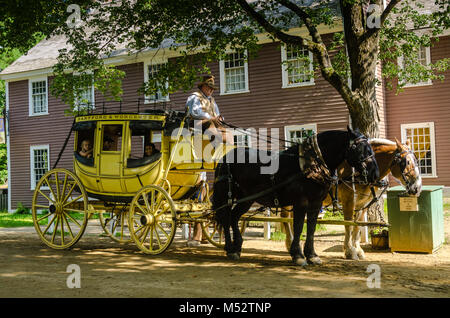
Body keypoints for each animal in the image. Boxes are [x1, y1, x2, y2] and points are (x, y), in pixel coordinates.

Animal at [213, 126, 378, 266]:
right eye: (359, 148)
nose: (374, 173)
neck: (311, 164)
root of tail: (226, 157)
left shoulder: (316, 203)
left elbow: (311, 228)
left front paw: (312, 255)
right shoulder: (301, 202)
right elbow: (298, 227)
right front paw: (298, 255)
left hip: (246, 199)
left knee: (234, 217)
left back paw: (237, 247)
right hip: (225, 195)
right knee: (225, 218)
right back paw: (230, 248)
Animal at [282, 138, 422, 260]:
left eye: (416, 160)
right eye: (406, 162)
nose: (417, 188)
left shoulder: (362, 205)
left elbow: (357, 226)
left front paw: (357, 250)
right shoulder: (349, 201)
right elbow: (349, 225)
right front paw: (350, 251)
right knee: (285, 219)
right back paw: (290, 245)